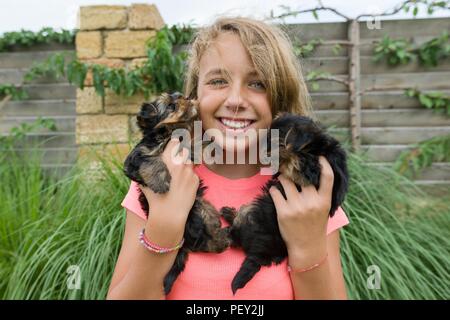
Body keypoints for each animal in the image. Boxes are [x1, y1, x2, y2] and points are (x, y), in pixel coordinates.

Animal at [122, 92, 229, 296]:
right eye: (171, 106)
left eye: (181, 97)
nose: (187, 98)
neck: (171, 133)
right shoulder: (137, 157)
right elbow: (150, 160)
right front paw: (160, 180)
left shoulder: (188, 151)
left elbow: (194, 148)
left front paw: (208, 142)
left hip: (199, 209)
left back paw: (221, 236)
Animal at [220, 113, 350, 296]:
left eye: (272, 139)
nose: (259, 150)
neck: (316, 147)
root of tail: (261, 253)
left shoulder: (308, 170)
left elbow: (292, 159)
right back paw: (229, 213)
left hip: (253, 220)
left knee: (237, 232)